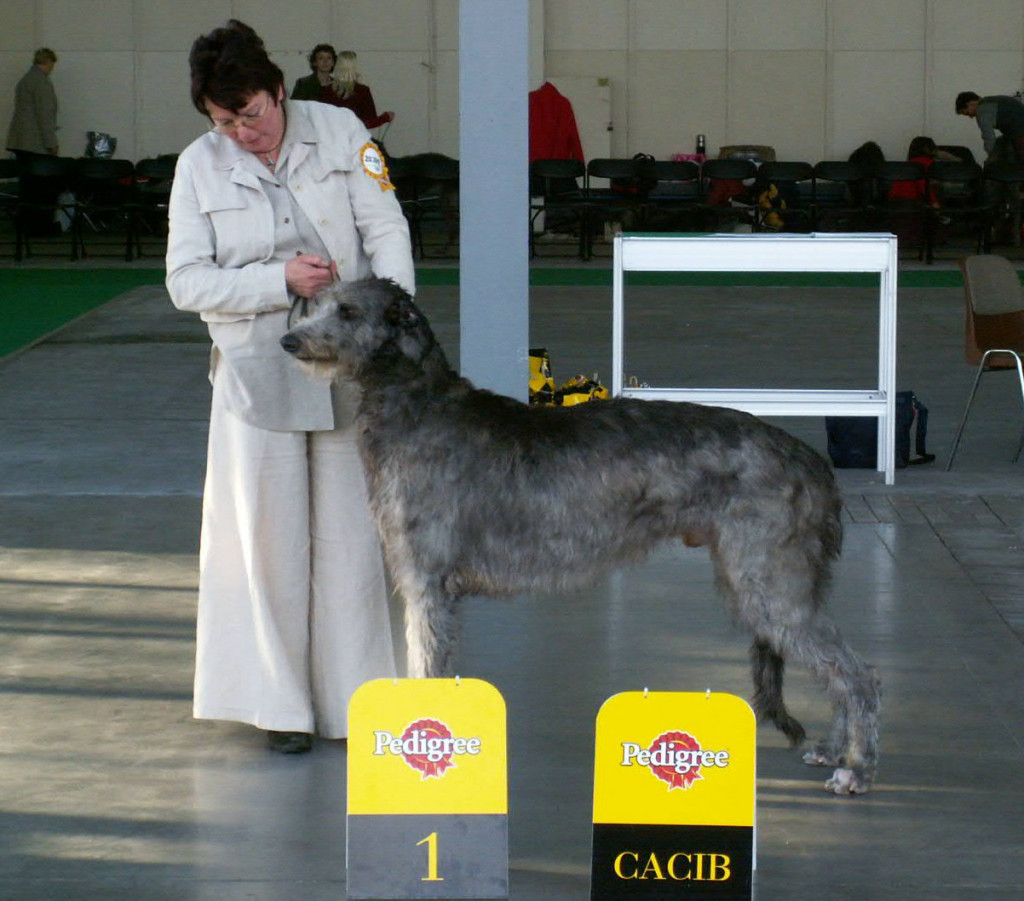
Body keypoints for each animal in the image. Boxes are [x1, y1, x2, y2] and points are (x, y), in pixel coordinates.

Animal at [280, 276, 880, 794]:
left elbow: (427, 666)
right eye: (320, 303)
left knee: (857, 673)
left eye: (348, 311)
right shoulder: (429, 584)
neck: (418, 406)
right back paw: (834, 749)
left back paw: (855, 767)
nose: (288, 340)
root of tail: (810, 459)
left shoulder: (428, 581)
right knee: (837, 667)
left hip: (768, 581)